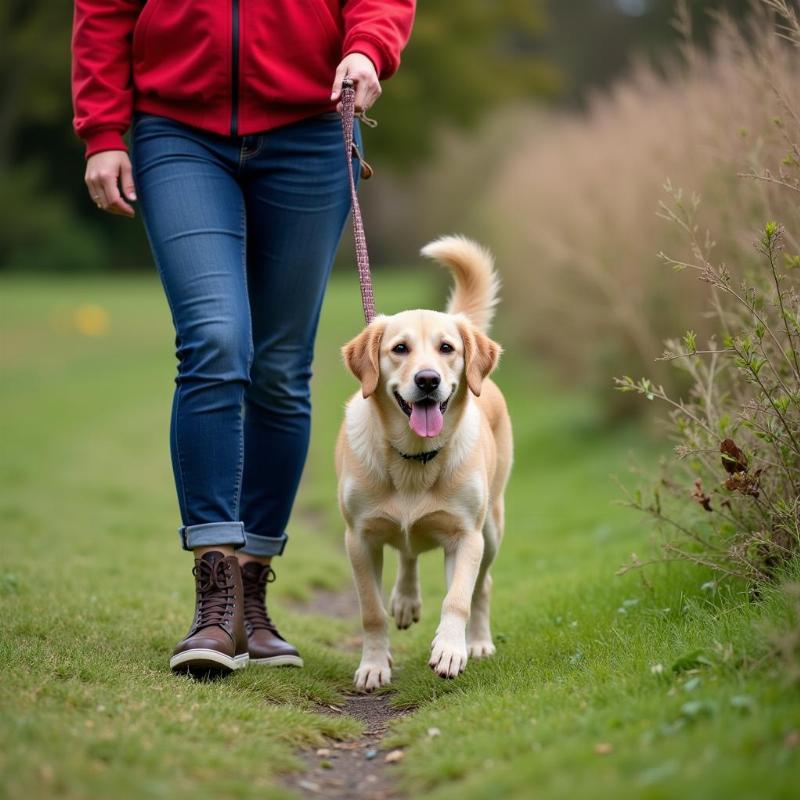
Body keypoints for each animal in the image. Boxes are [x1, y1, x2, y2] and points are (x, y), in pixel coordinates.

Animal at [336, 234, 512, 692]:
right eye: (400, 349)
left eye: (447, 348)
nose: (428, 380)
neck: (413, 458)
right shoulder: (358, 538)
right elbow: (371, 610)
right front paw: (373, 665)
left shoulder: (467, 536)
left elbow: (457, 598)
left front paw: (451, 649)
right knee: (408, 552)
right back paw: (405, 600)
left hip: (492, 527)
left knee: (483, 585)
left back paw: (478, 642)